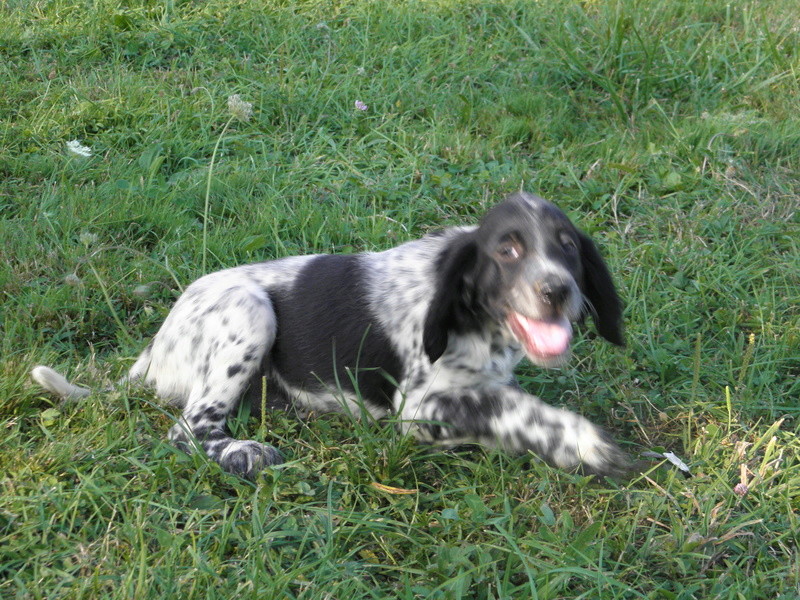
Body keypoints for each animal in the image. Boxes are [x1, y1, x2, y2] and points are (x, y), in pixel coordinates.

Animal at [32, 195, 632, 480]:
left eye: (568, 247)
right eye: (507, 250)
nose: (557, 291)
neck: (474, 321)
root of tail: (154, 349)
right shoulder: (419, 406)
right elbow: (507, 408)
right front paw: (580, 441)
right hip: (249, 314)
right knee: (187, 429)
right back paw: (243, 454)